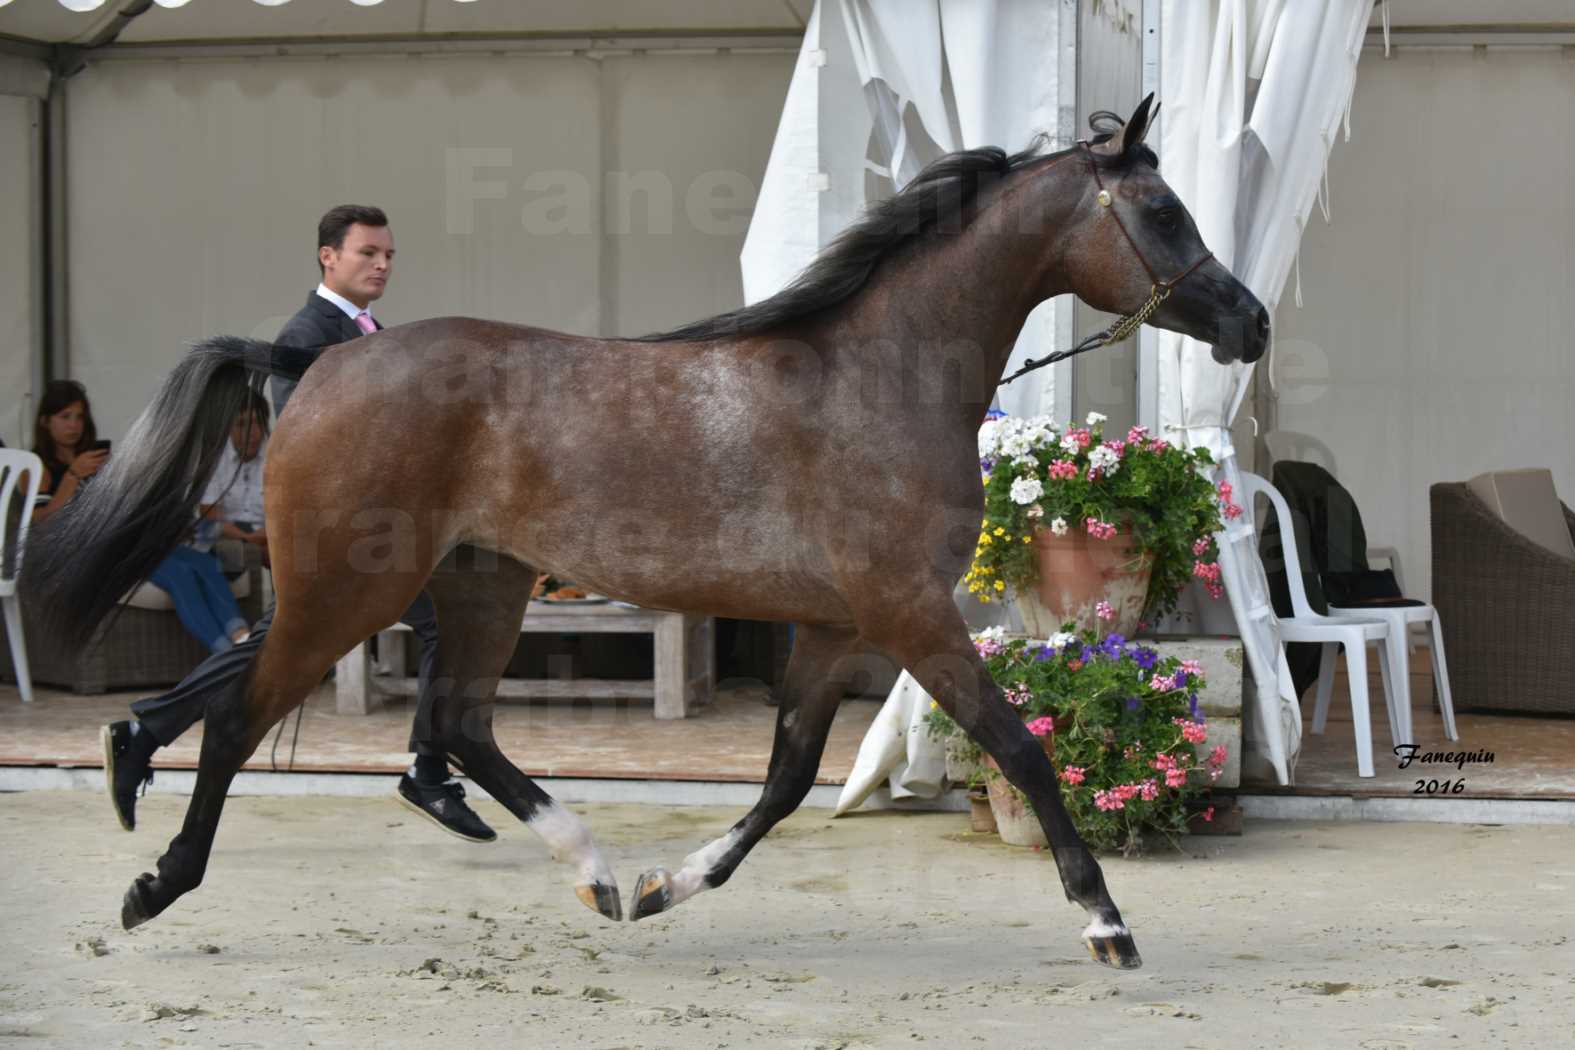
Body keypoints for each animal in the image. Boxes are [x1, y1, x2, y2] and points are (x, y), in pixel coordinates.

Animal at [27, 96, 1266, 969]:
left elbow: (786, 781)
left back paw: (599, 874)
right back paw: (153, 879)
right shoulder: (911, 615)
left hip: (482, 584)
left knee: (461, 726)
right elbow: (1020, 747)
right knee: (242, 717)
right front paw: (1107, 924)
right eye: (1163, 212)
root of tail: (311, 363)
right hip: (350, 592)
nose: (1250, 321)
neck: (877, 380)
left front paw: (672, 886)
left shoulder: (834, 627)